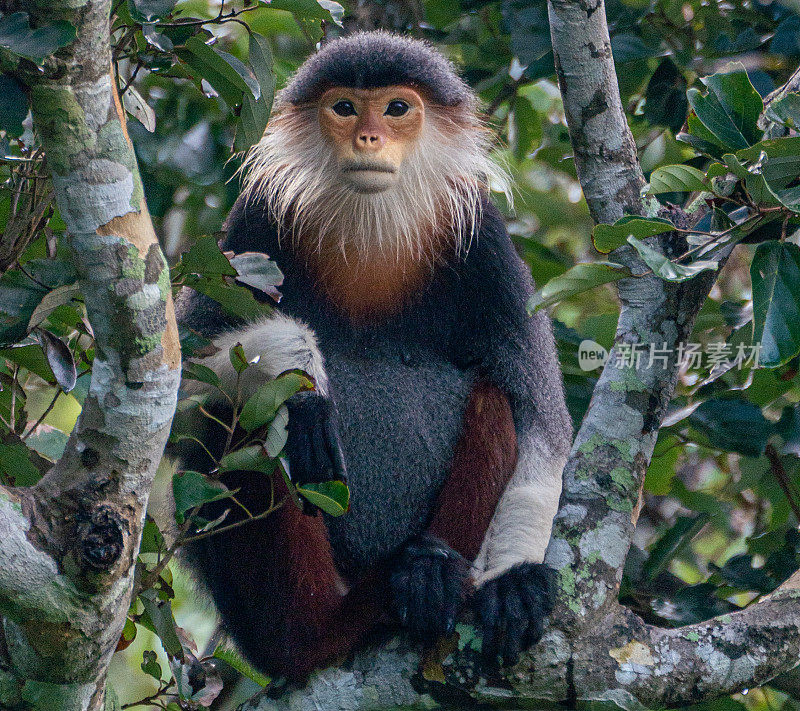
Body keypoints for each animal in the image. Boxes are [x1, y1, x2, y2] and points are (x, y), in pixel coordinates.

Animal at [177, 32, 572, 684]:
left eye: (396, 108)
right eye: (344, 108)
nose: (368, 138)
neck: (372, 230)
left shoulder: (486, 246)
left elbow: (541, 421)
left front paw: (511, 583)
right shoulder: (257, 219)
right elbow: (186, 371)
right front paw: (304, 381)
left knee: (493, 398)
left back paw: (426, 575)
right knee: (236, 418)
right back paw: (316, 629)